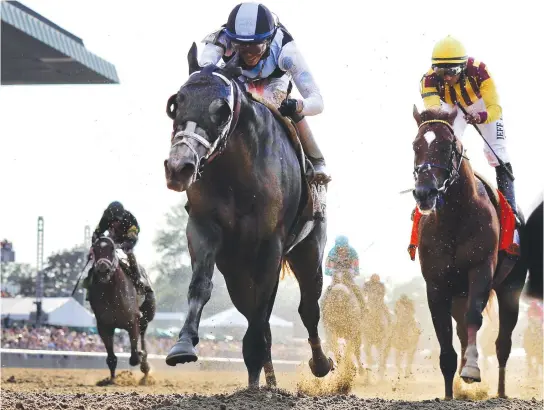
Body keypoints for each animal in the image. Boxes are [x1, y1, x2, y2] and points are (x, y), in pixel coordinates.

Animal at [89, 235, 156, 382]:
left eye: (112, 248)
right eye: (95, 250)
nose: (103, 269)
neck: (111, 294)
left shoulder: (133, 321)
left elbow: (134, 357)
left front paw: (141, 357)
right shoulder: (104, 326)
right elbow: (111, 358)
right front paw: (112, 380)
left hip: (146, 315)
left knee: (143, 334)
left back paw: (145, 365)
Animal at [163, 44, 332, 388]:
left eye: (223, 111)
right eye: (176, 103)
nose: (179, 167)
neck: (236, 177)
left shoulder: (270, 243)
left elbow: (265, 306)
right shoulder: (203, 227)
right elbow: (200, 285)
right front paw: (183, 345)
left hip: (309, 250)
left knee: (307, 308)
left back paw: (319, 363)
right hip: (235, 270)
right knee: (256, 312)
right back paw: (263, 379)